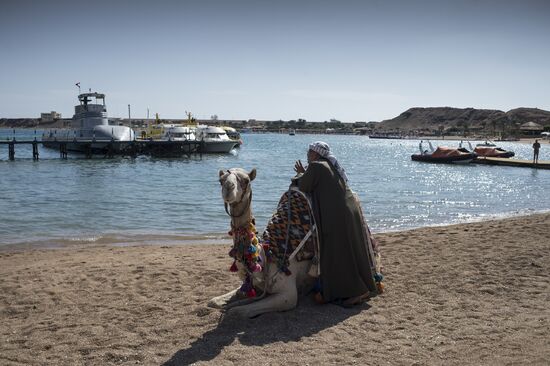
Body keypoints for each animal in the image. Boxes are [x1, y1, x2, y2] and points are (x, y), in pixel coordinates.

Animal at [209, 168, 320, 318]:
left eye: (246, 180)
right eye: (221, 180)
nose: (228, 187)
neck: (265, 255)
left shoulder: (288, 295)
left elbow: (237, 311)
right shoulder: (251, 285)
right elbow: (213, 301)